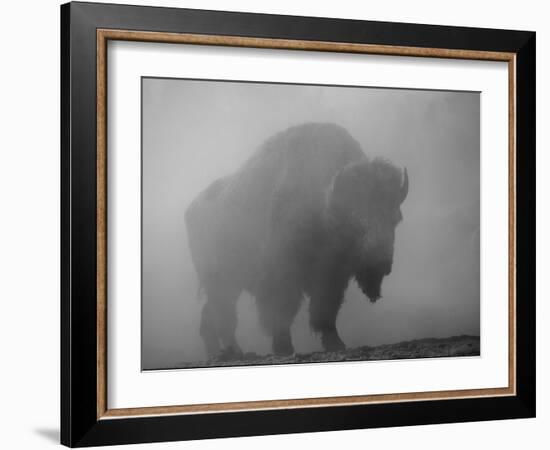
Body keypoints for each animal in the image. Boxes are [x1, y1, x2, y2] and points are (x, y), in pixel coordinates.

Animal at [185, 121, 410, 356]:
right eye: (356, 220)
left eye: (395, 218)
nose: (381, 263)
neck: (326, 204)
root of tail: (191, 210)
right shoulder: (282, 276)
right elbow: (281, 313)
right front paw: (283, 347)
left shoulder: (332, 277)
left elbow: (325, 312)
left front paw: (336, 344)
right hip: (220, 281)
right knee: (223, 316)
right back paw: (234, 352)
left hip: (228, 284)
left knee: (211, 316)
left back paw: (220, 353)